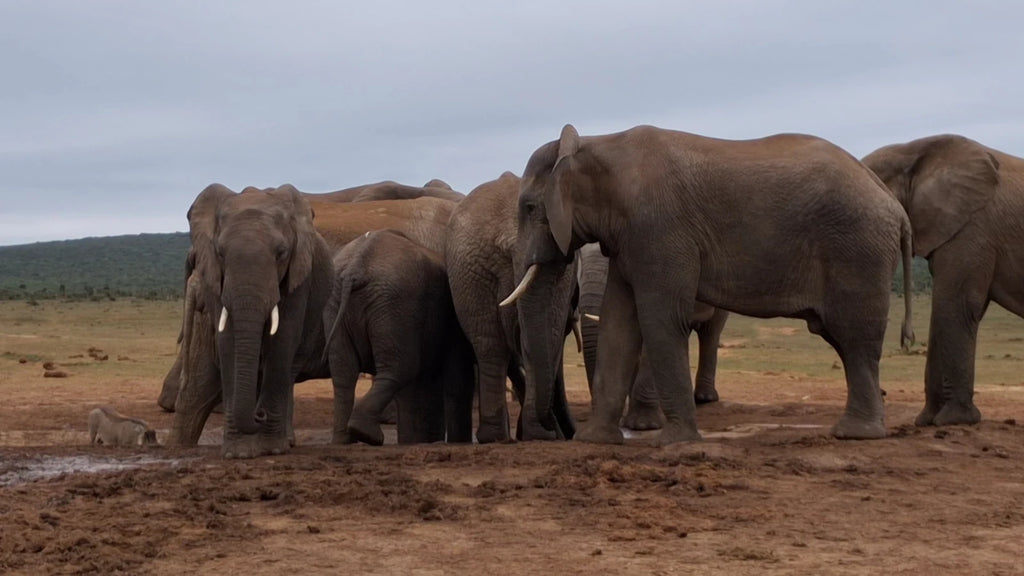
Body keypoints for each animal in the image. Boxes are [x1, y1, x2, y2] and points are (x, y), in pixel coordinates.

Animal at [187, 183, 334, 458]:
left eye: (281, 254)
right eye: (220, 253)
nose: (259, 415)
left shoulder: (299, 278)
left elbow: (283, 340)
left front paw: (272, 449)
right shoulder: (215, 279)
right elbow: (228, 342)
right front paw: (238, 452)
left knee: (289, 367)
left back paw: (284, 441)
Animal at [324, 229, 475, 445]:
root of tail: (355, 268)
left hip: (349, 302)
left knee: (344, 374)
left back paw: (345, 439)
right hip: (393, 304)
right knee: (401, 368)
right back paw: (367, 435)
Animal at [862, 134, 1024, 427]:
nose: (884, 393)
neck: (912, 150)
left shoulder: (973, 228)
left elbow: (955, 306)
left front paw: (953, 420)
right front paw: (927, 421)